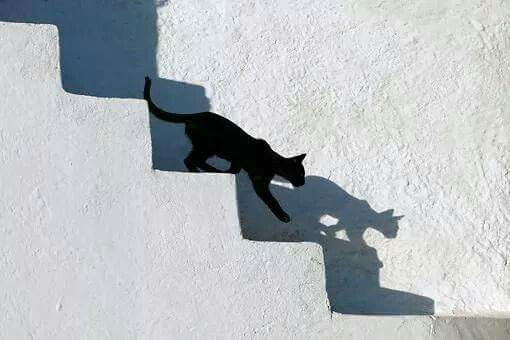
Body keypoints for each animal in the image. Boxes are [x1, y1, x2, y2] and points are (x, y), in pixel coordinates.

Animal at [143, 75, 304, 222]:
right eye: (301, 173)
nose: (302, 183)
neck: (273, 162)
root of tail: (195, 115)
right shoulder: (259, 183)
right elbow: (272, 200)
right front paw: (283, 216)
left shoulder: (238, 163)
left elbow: (234, 170)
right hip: (208, 146)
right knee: (190, 160)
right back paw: (206, 171)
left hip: (206, 148)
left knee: (194, 160)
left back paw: (213, 170)